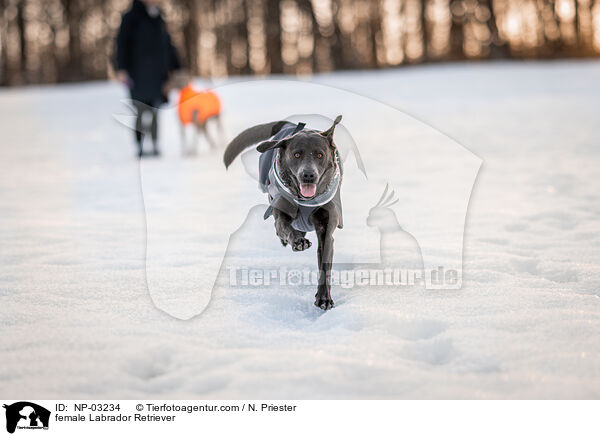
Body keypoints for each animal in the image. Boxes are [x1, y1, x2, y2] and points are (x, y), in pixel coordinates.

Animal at [223, 116, 342, 310]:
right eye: (297, 155)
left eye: (320, 155)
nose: (308, 175)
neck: (305, 200)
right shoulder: (280, 216)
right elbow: (285, 228)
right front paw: (298, 241)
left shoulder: (326, 230)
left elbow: (325, 264)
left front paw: (324, 298)